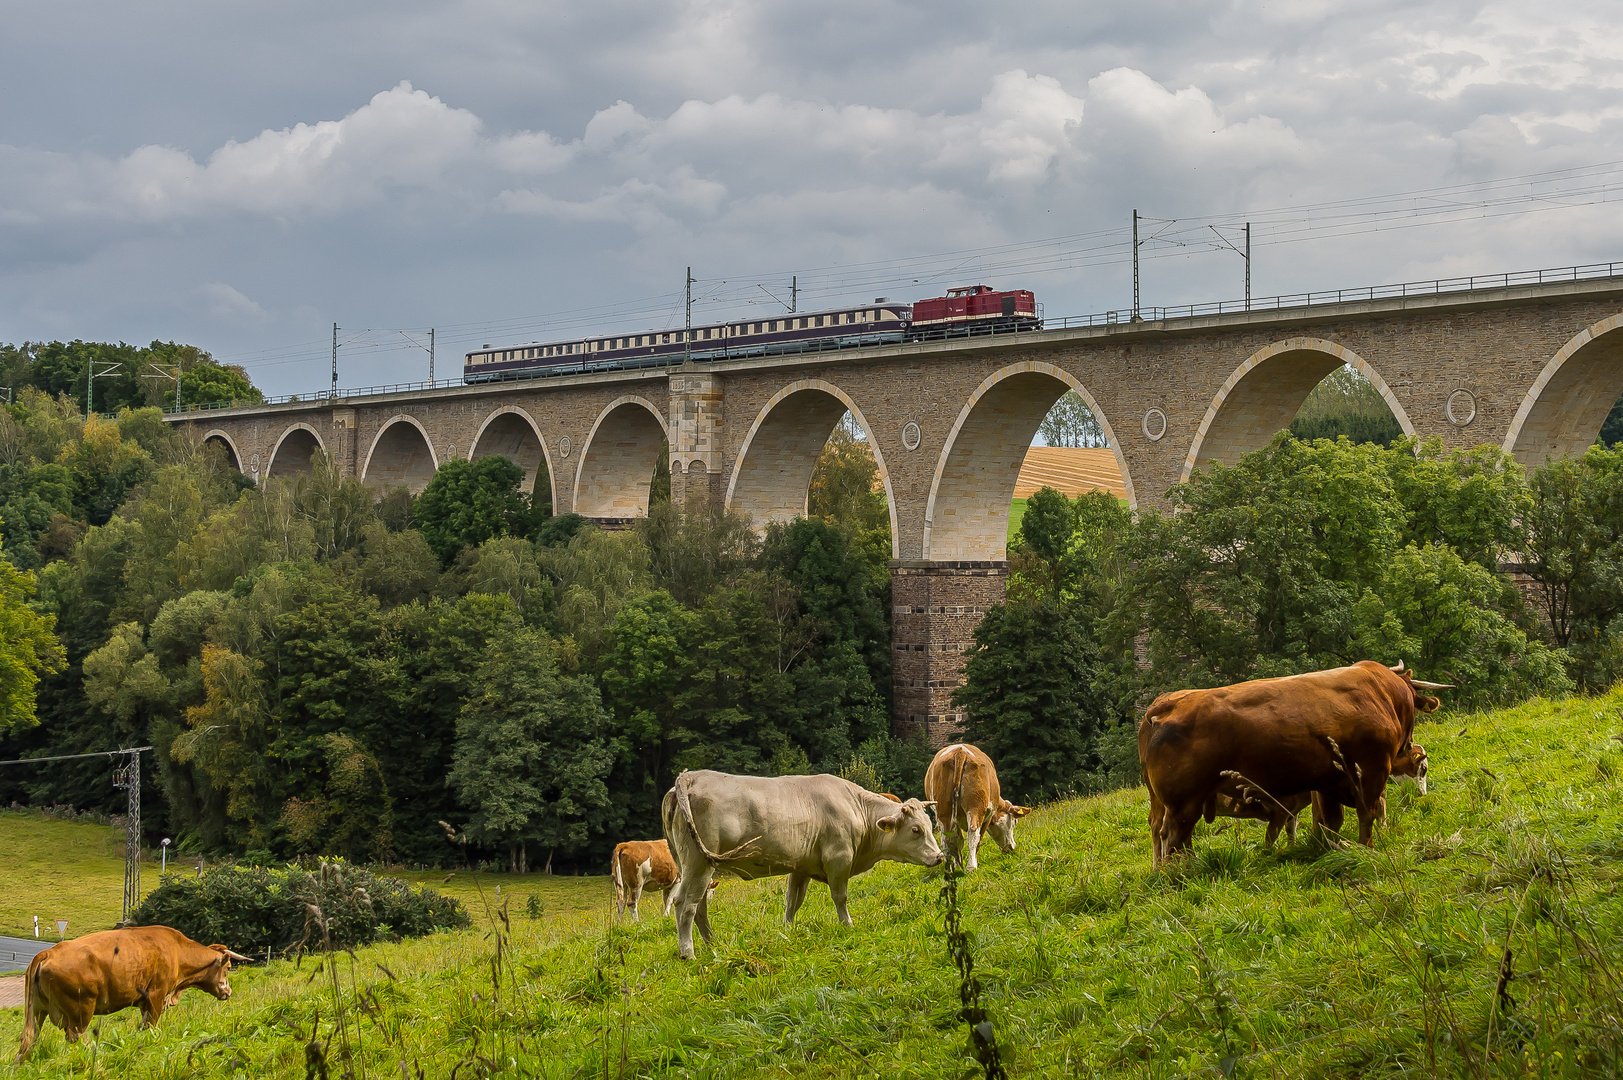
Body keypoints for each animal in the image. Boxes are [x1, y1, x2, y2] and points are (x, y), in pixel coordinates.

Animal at [16, 922, 249, 1058]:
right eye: (228, 967)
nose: (228, 992)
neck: (177, 950)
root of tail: (48, 952)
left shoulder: (145, 1003)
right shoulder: (155, 997)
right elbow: (150, 1027)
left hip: (37, 1011)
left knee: (29, 1040)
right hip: (80, 1011)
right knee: (76, 1037)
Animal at [658, 766, 941, 961]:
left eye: (930, 825)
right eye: (916, 830)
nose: (939, 856)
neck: (855, 806)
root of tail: (690, 777)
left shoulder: (801, 866)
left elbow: (793, 901)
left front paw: (788, 931)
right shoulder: (839, 858)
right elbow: (840, 897)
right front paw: (847, 925)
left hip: (691, 863)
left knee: (700, 905)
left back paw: (713, 944)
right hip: (698, 864)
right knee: (685, 903)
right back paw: (688, 952)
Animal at [921, 740, 1032, 870]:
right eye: (1014, 821)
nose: (1012, 847)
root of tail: (960, 751)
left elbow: (958, 840)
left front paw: (957, 864)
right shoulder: (988, 814)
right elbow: (978, 838)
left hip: (943, 809)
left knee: (946, 838)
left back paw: (949, 868)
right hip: (976, 806)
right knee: (973, 832)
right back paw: (971, 866)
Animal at [1136, 662, 1454, 864]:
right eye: (1423, 769)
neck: (1384, 693)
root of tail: (1166, 704)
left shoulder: (1329, 782)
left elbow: (1330, 823)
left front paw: (1332, 850)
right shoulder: (1371, 771)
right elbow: (1368, 815)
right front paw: (1367, 849)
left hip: (1173, 801)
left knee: (1172, 836)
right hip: (1183, 803)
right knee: (1172, 838)